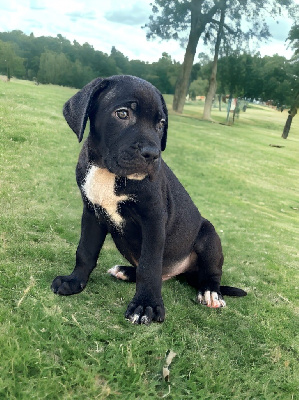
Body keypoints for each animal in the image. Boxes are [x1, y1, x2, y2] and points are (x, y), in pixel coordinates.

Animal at [51, 75, 247, 324]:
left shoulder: (153, 221)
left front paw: (146, 305)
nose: (153, 154)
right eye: (122, 114)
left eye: (161, 123)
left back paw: (210, 292)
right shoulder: (92, 213)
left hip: (209, 235)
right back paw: (126, 271)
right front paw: (74, 281)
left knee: (209, 274)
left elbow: (150, 265)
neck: (108, 172)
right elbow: (85, 250)